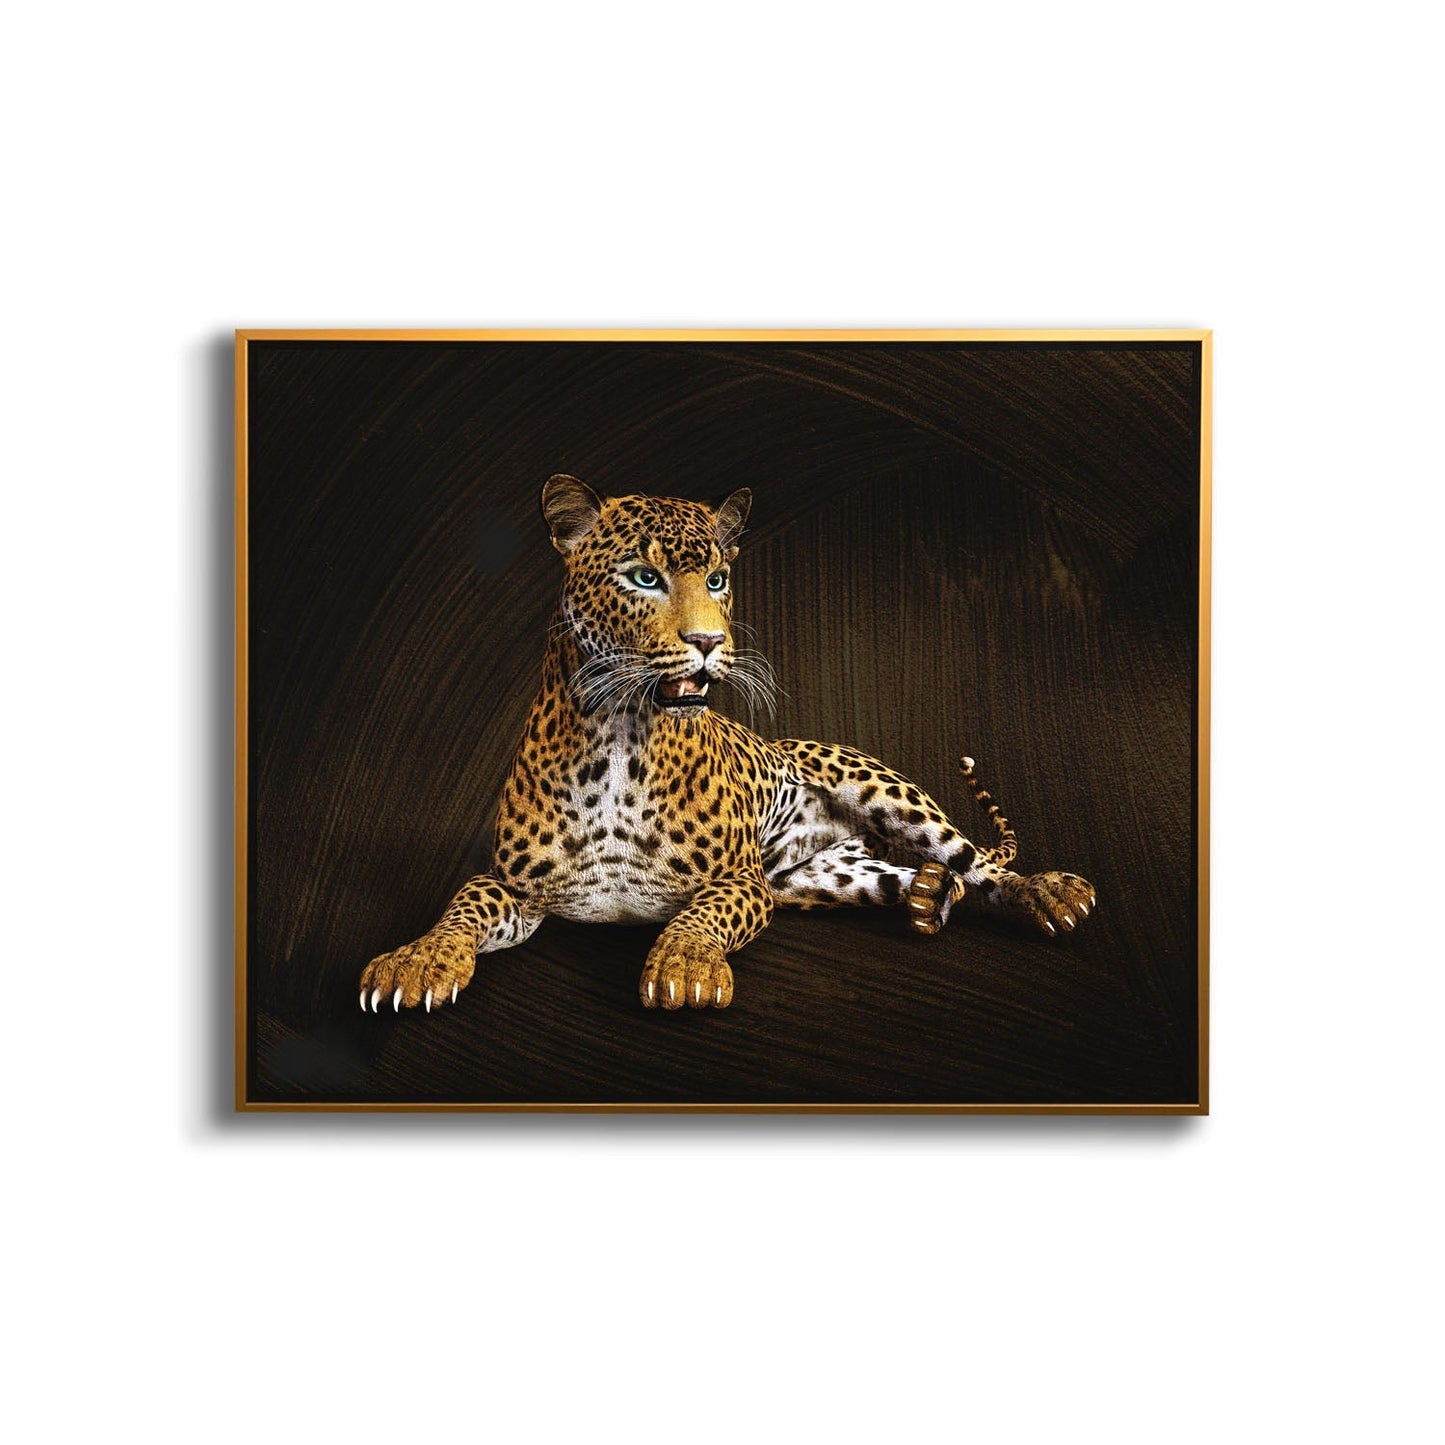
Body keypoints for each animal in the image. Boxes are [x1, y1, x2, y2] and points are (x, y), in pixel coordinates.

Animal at [359, 475, 1095, 1013]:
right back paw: (926, 895)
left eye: (717, 581)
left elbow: (699, 915)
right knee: (905, 876)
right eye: (644, 578)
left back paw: (1047, 892)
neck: (619, 736)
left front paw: (685, 966)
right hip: (814, 881)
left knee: (977, 861)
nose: (709, 641)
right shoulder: (517, 886)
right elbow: (461, 906)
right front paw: (415, 959)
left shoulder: (737, 880)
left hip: (887, 792)